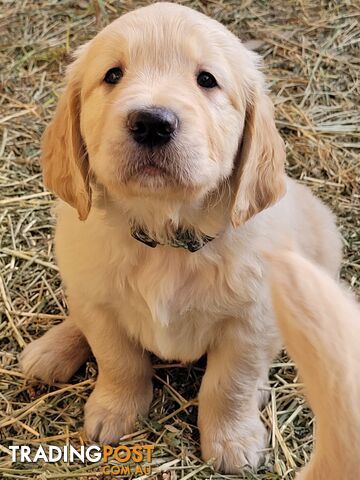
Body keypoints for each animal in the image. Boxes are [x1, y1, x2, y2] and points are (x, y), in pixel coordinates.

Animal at [21, 2, 342, 476]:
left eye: (206, 79)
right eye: (113, 74)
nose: (152, 123)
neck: (166, 237)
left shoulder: (251, 321)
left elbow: (230, 382)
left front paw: (232, 441)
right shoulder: (101, 308)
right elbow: (118, 360)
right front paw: (114, 410)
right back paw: (50, 350)